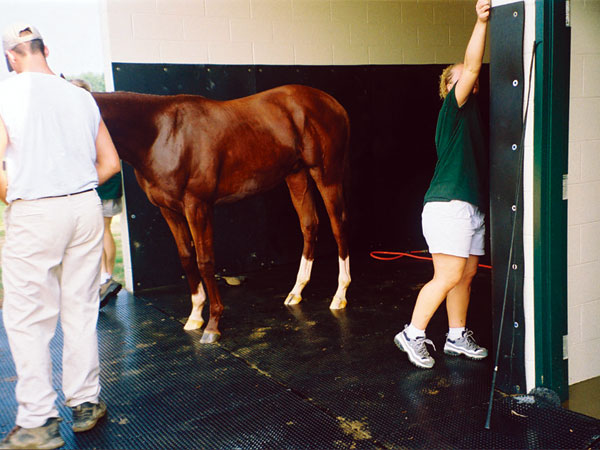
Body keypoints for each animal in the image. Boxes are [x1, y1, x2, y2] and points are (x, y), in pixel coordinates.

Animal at [94, 84, 352, 342]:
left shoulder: (198, 205)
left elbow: (205, 261)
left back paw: (340, 294)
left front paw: (212, 324)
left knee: (338, 225)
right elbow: (186, 258)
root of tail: (332, 102)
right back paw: (296, 291)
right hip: (297, 175)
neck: (160, 133)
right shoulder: (168, 210)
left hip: (326, 175)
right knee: (309, 225)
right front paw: (195, 315)